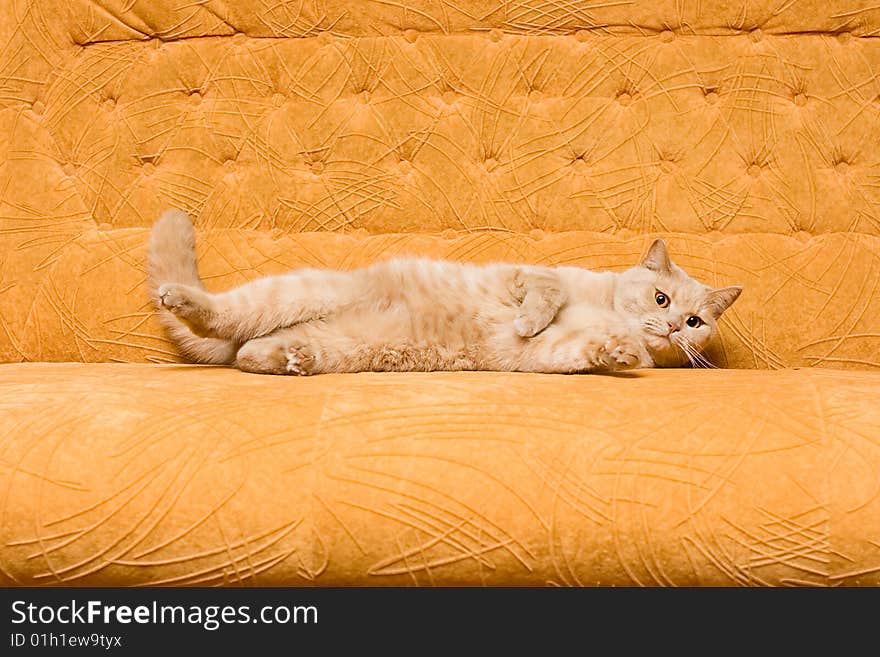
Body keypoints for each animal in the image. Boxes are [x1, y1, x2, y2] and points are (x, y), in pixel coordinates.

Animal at [146, 210, 744, 374]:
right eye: (663, 300)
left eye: (695, 322)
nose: (674, 326)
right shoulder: (526, 273)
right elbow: (545, 293)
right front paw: (529, 318)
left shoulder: (547, 357)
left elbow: (580, 350)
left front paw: (616, 353)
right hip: (291, 293)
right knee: (222, 318)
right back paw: (184, 299)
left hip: (334, 344)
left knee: (246, 351)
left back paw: (286, 357)